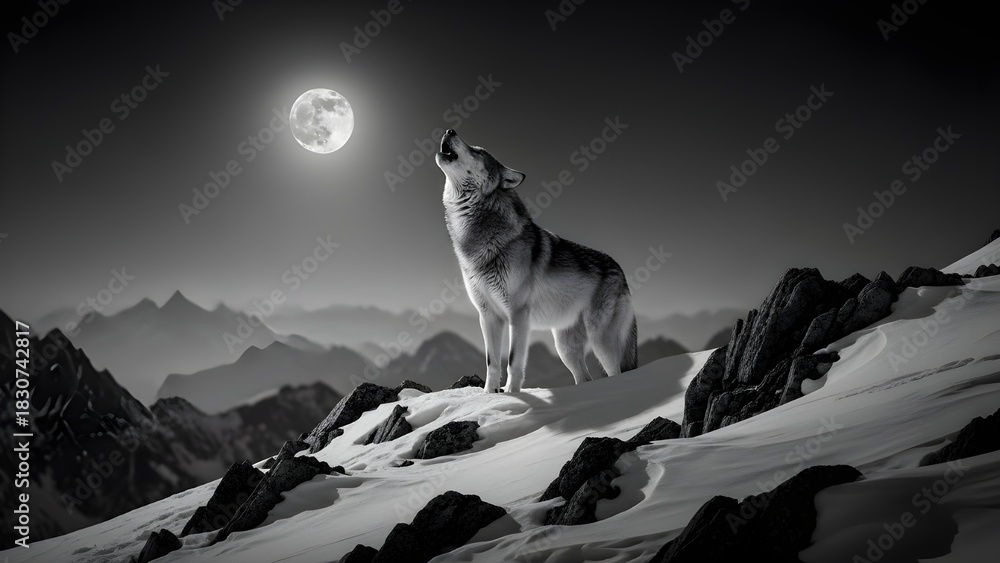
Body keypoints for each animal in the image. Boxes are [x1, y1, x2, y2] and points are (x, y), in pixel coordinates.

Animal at [435, 129, 638, 393]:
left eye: (477, 151)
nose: (450, 130)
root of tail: (620, 270)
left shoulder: (518, 315)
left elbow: (513, 361)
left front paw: (511, 394)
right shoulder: (488, 316)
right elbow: (492, 363)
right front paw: (489, 395)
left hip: (600, 342)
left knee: (616, 373)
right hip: (565, 348)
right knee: (585, 378)